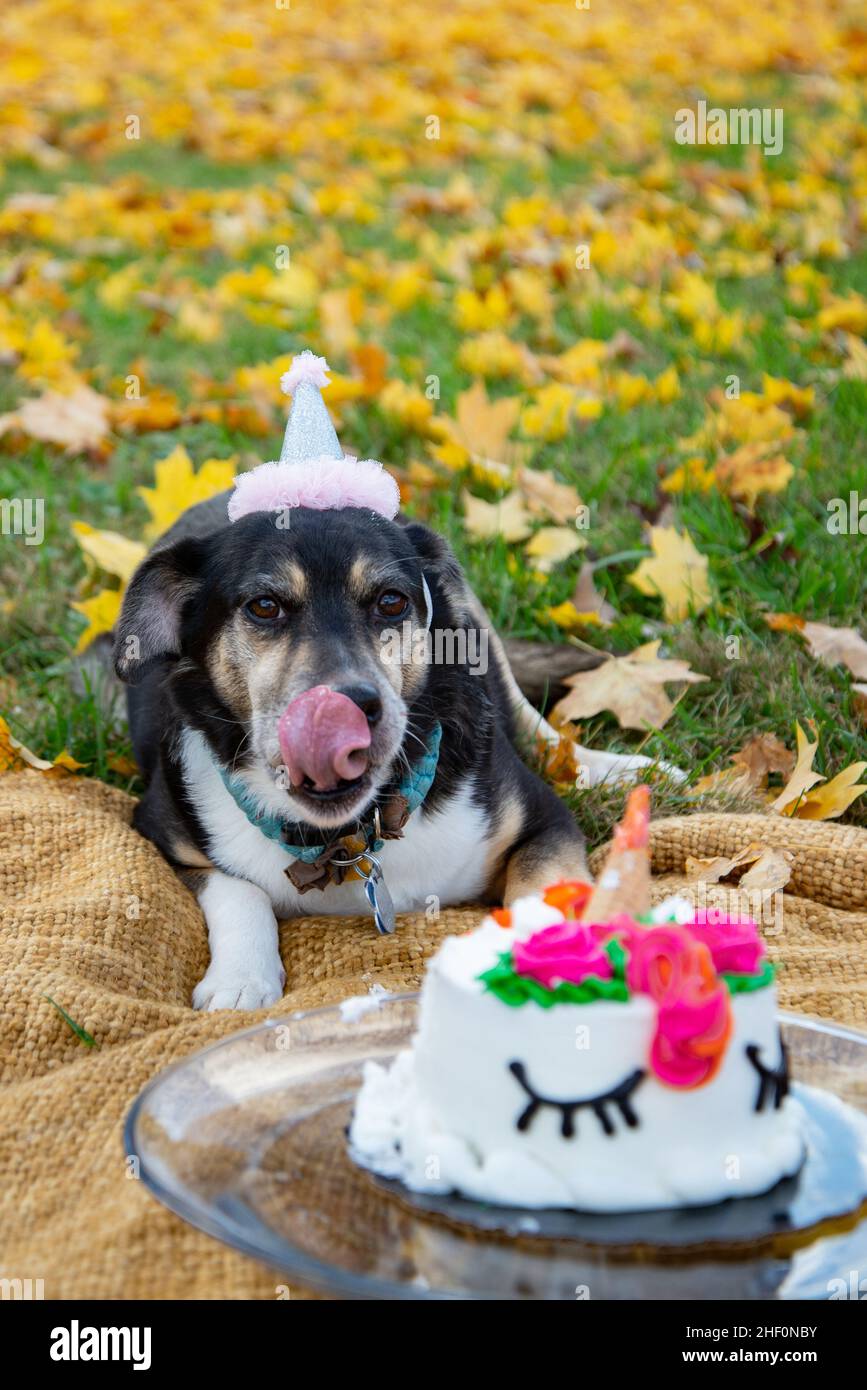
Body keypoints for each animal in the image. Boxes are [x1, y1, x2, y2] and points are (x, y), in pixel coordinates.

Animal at [111, 489, 675, 1011]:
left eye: (391, 601)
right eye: (264, 606)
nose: (345, 711)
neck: (346, 835)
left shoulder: (543, 821)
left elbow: (541, 888)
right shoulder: (161, 833)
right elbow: (238, 888)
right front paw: (240, 982)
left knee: (534, 724)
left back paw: (623, 771)